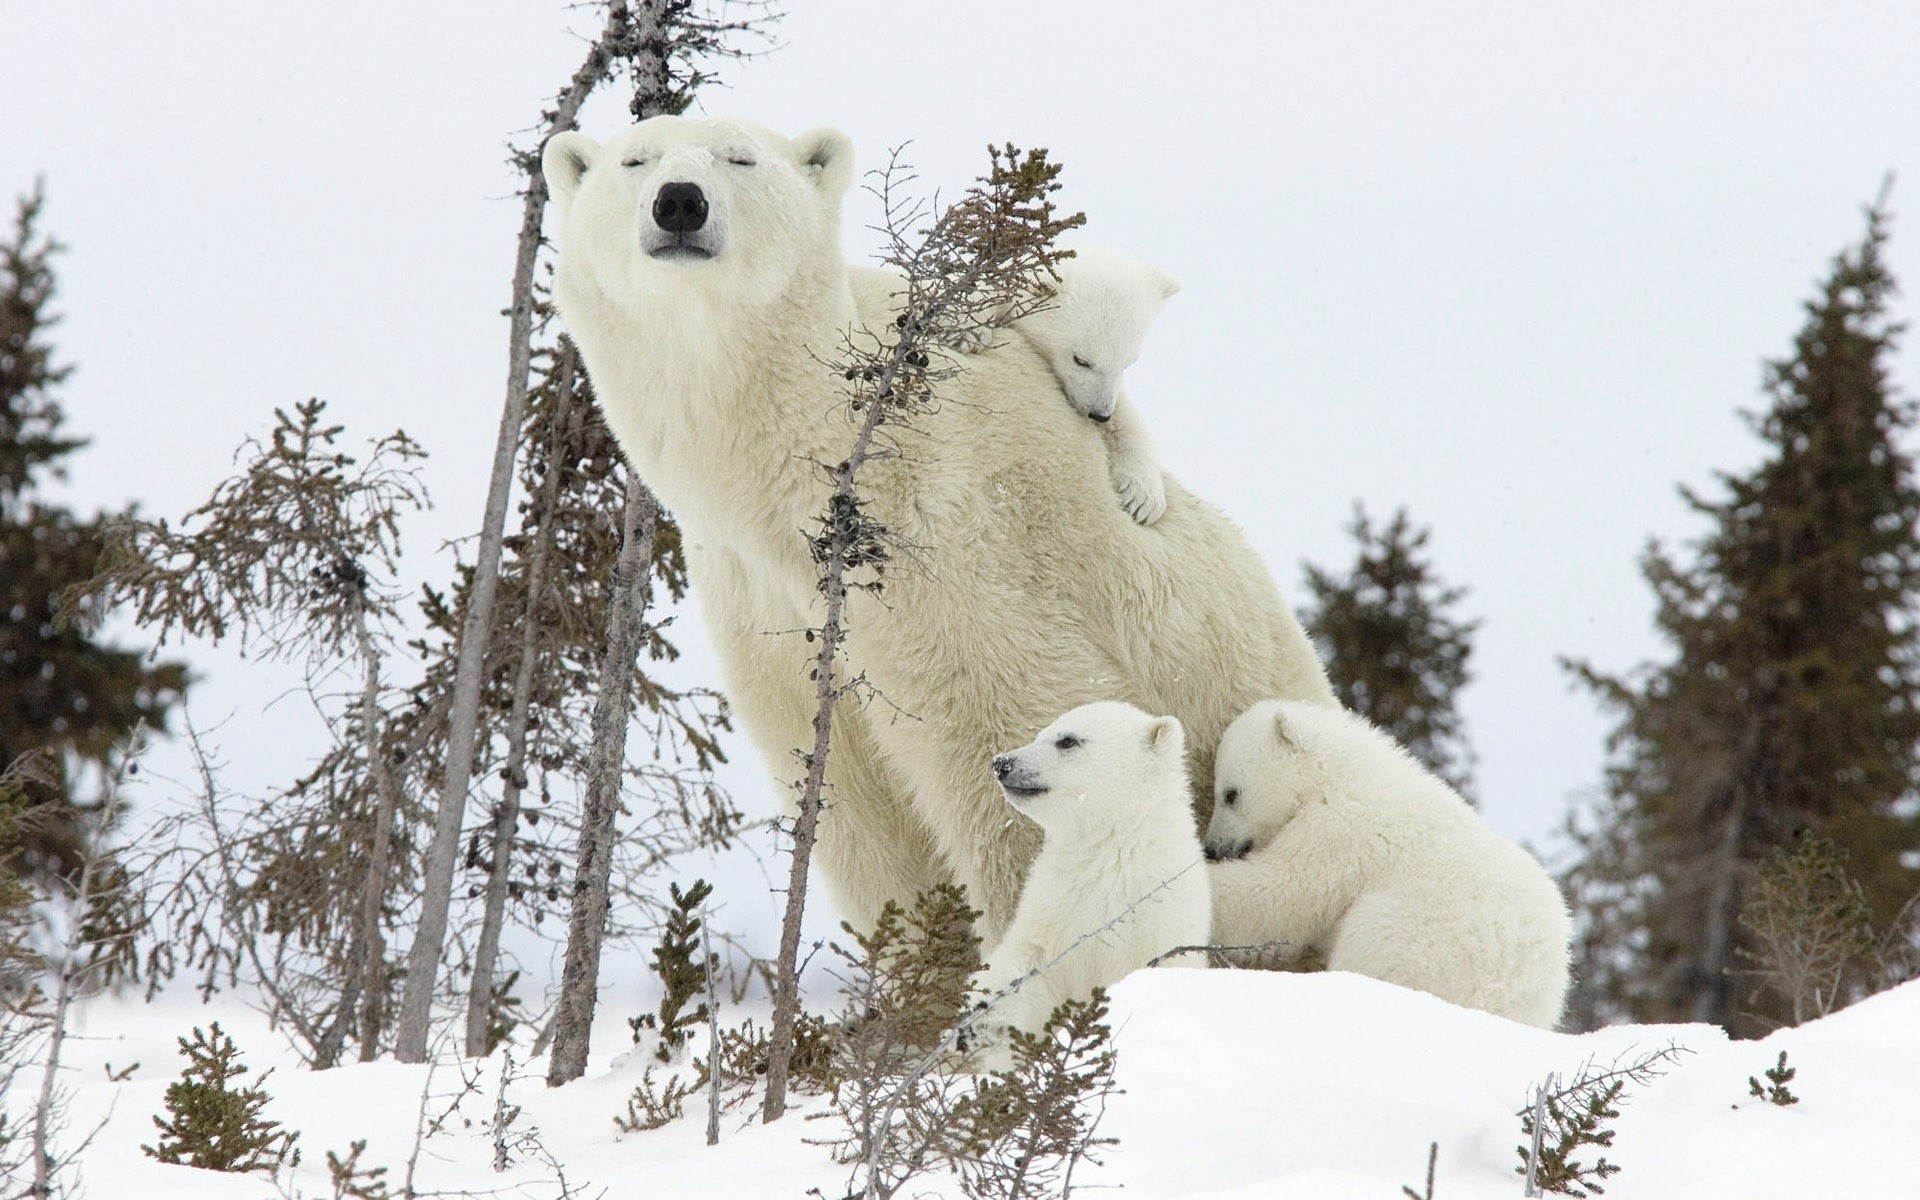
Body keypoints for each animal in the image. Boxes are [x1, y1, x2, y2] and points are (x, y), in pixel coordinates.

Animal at [541, 114, 1336, 936]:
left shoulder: (953, 549)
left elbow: (1014, 748)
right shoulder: (761, 603)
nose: (680, 203)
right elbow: (858, 814)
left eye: (740, 158)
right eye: (635, 160)